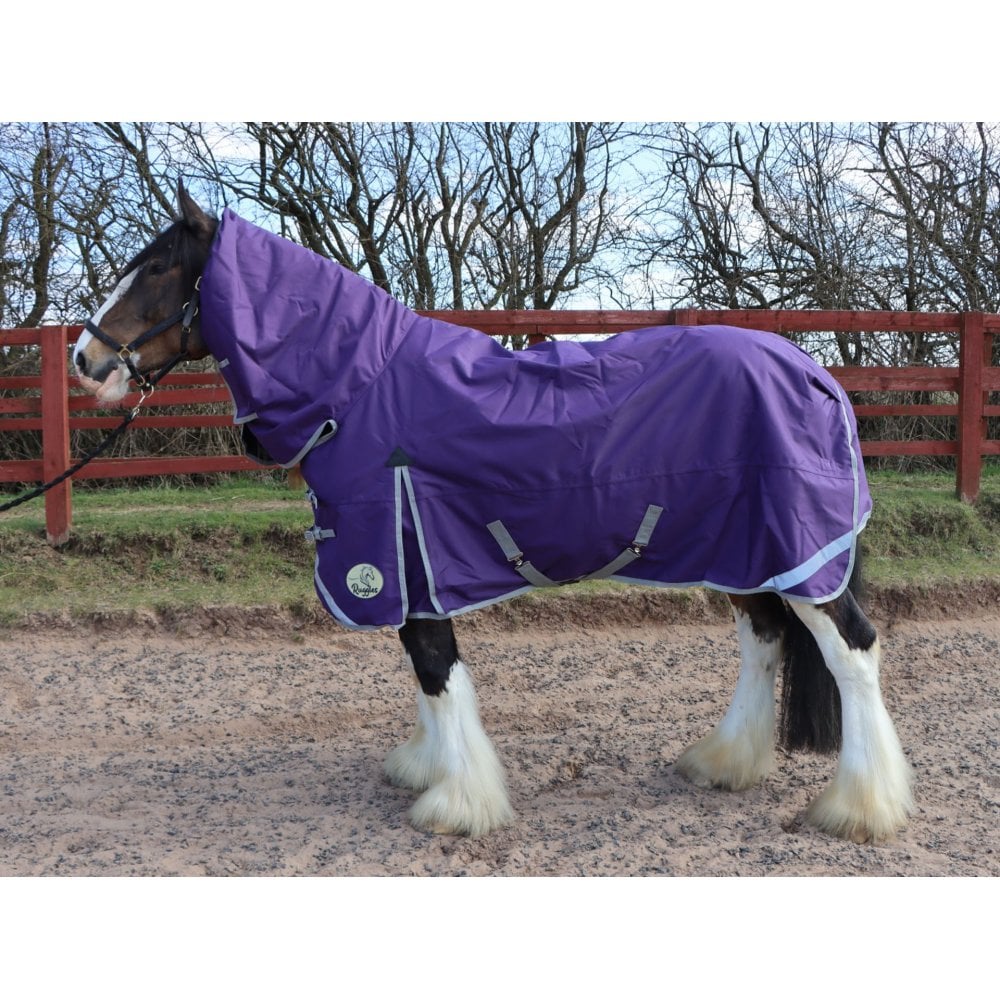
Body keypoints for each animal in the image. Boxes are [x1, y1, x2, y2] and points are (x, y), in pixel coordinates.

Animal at [73, 182, 914, 844]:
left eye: (157, 268)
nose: (86, 360)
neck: (359, 388)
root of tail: (814, 373)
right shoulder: (410, 567)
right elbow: (423, 675)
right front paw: (425, 769)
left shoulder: (399, 554)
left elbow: (435, 670)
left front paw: (456, 804)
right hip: (747, 552)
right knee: (763, 641)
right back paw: (725, 763)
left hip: (799, 554)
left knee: (853, 653)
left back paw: (859, 808)